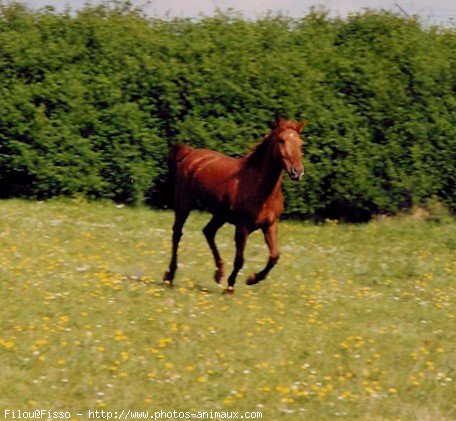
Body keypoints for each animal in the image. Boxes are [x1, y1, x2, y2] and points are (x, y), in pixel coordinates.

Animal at [164, 115, 306, 292]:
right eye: (281, 140)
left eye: (301, 143)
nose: (297, 172)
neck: (259, 187)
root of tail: (190, 154)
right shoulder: (242, 227)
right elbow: (240, 259)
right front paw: (230, 287)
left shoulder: (270, 225)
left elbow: (274, 256)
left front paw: (252, 279)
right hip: (184, 204)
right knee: (177, 233)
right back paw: (170, 275)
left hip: (220, 215)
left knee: (208, 232)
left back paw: (219, 273)